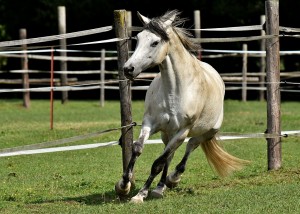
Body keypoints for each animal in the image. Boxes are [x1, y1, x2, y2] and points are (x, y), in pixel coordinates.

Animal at [115, 10, 248, 203]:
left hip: (204, 134)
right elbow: (137, 149)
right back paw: (160, 187)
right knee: (169, 155)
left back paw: (171, 180)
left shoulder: (182, 131)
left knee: (188, 148)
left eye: (155, 42)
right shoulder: (150, 123)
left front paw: (140, 195)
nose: (128, 69)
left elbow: (157, 164)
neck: (174, 90)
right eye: (138, 38)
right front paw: (124, 185)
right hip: (167, 134)